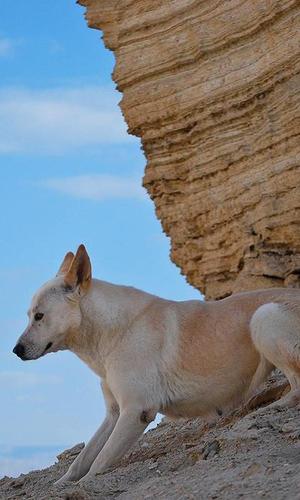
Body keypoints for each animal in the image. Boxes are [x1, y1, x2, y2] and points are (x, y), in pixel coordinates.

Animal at [12, 246, 300, 484]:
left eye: (39, 316)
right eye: (30, 315)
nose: (16, 351)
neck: (113, 332)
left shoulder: (136, 411)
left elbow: (98, 463)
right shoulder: (113, 414)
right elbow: (81, 460)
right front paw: (61, 484)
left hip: (263, 316)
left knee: (296, 388)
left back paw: (270, 407)